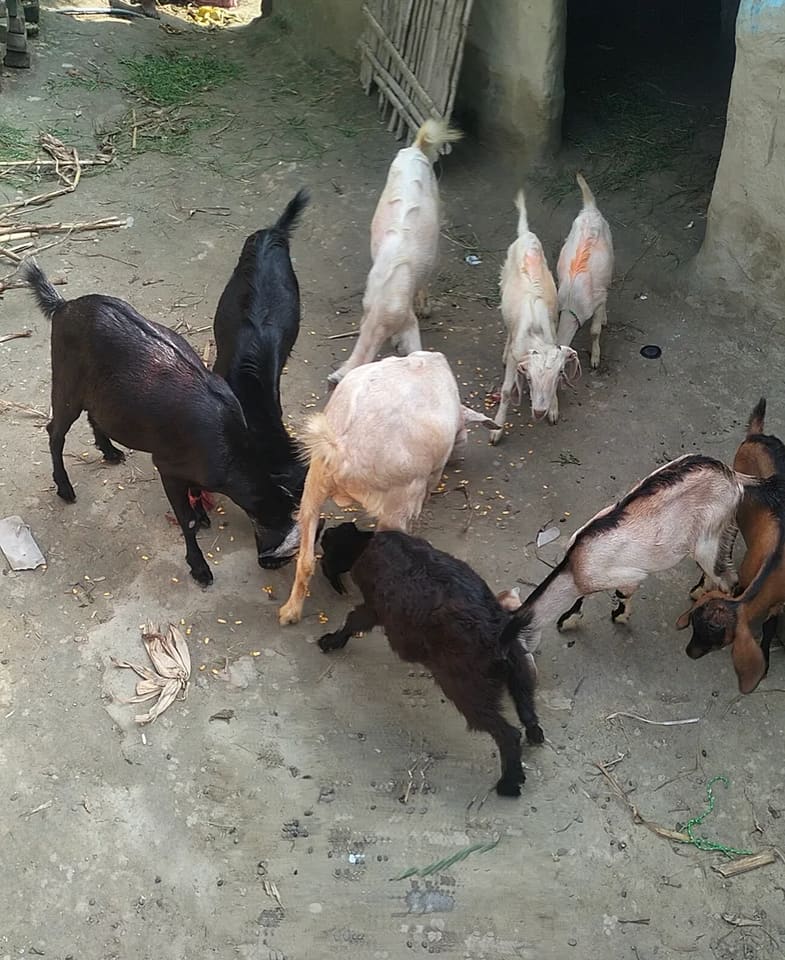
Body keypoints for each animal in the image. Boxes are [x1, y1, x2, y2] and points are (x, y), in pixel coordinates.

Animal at [23, 260, 301, 585]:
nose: (268, 563)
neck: (231, 448)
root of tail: (64, 306)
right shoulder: (167, 466)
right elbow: (186, 520)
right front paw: (199, 567)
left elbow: (195, 494)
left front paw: (203, 515)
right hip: (67, 383)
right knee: (56, 431)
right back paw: (65, 488)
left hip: (99, 391)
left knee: (95, 413)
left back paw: (110, 452)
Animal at [278, 351, 496, 624]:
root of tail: (343, 449)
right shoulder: (430, 475)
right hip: (398, 502)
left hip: (315, 482)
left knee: (306, 557)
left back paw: (290, 613)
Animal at [317, 522, 544, 797]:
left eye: (327, 545)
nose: (323, 532)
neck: (364, 543)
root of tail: (499, 634)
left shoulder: (373, 609)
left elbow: (352, 621)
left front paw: (332, 641)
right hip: (520, 673)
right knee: (527, 708)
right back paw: (534, 734)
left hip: (468, 693)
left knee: (508, 734)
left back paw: (509, 782)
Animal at [491, 189, 579, 443]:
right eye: (529, 379)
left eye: (558, 376)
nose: (539, 412)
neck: (536, 334)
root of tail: (526, 234)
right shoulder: (516, 358)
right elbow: (506, 391)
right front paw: (497, 429)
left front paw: (554, 409)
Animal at [512, 455, 761, 654]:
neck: (574, 567)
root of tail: (733, 476)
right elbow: (582, 598)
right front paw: (568, 620)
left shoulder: (627, 577)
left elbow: (621, 596)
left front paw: (619, 617)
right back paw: (699, 592)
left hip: (710, 538)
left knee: (729, 579)